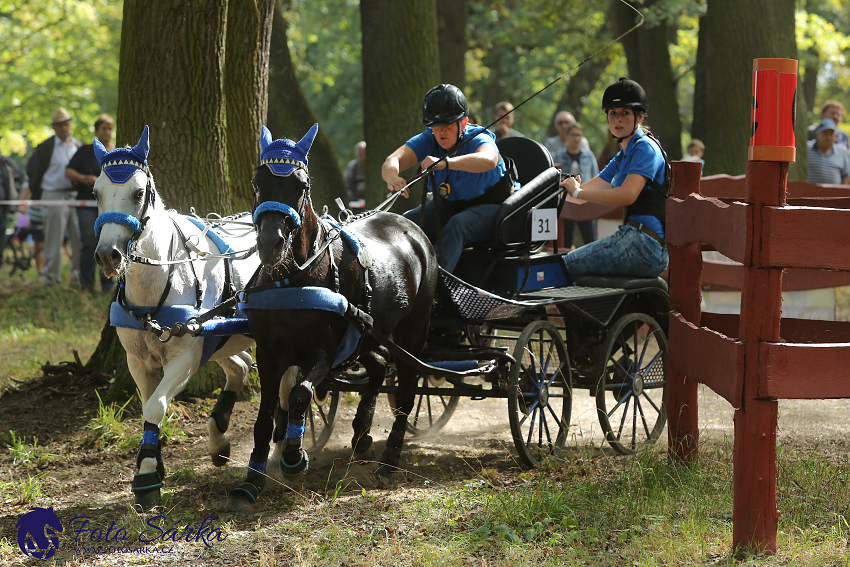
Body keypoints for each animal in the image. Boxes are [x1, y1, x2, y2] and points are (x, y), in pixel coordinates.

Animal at [93, 125, 258, 516]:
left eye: (139, 192)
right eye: (95, 192)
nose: (108, 255)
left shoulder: (184, 357)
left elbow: (156, 405)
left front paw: (146, 476)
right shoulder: (138, 361)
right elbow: (147, 408)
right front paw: (152, 464)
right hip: (217, 336)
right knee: (240, 366)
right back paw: (218, 438)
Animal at [225, 123, 438, 506]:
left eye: (302, 186)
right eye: (257, 182)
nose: (270, 243)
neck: (292, 279)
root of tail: (412, 228)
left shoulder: (322, 353)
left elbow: (298, 395)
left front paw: (293, 456)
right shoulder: (268, 354)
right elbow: (265, 416)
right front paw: (252, 479)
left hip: (413, 330)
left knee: (407, 389)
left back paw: (389, 458)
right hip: (366, 331)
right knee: (379, 364)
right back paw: (362, 433)